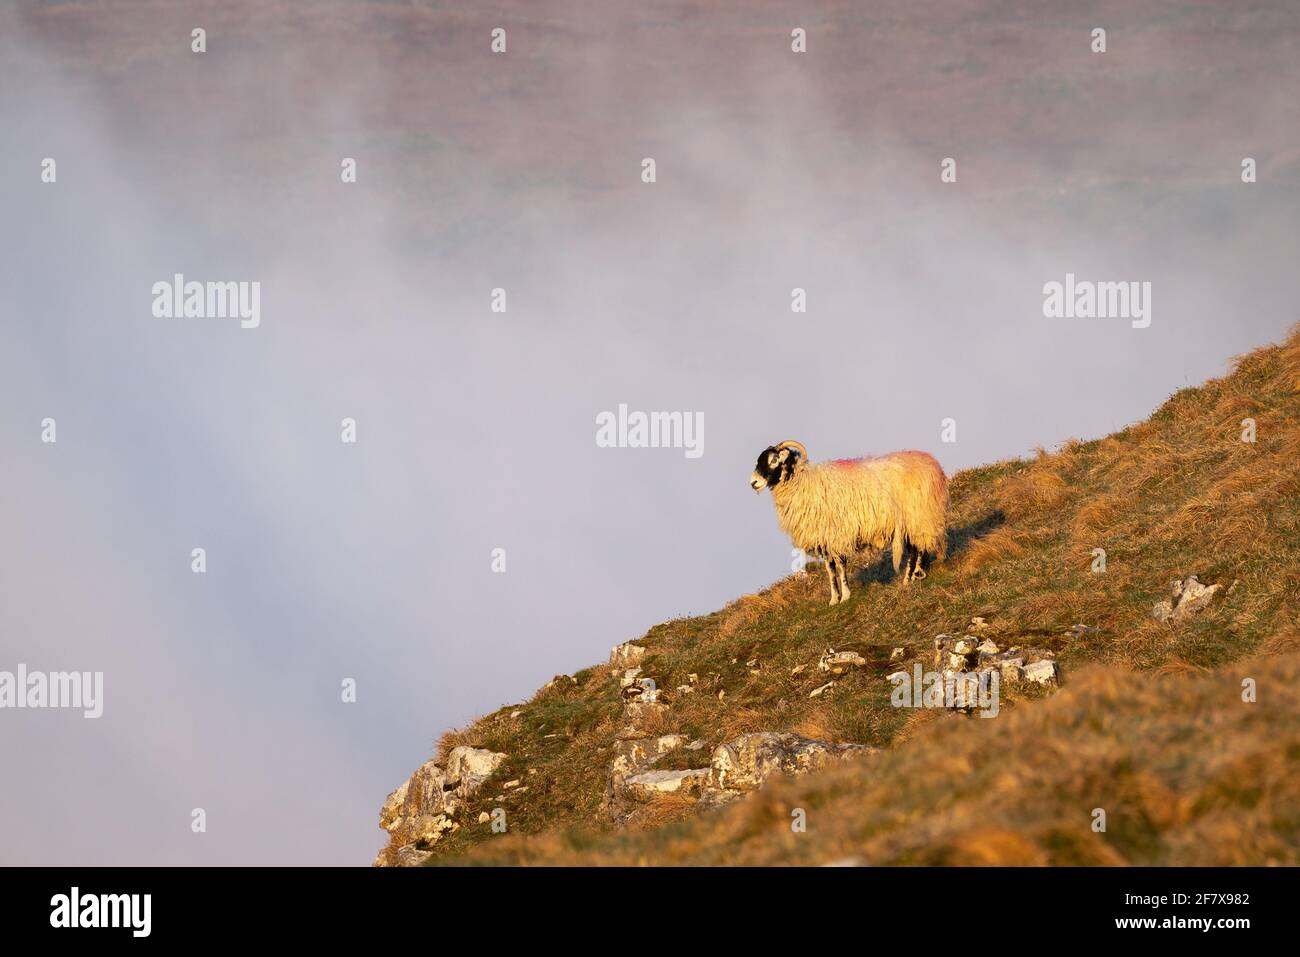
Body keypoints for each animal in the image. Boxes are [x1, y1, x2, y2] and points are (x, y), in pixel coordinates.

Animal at [754, 442, 946, 605]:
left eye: (774, 460)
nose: (753, 483)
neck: (804, 483)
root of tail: (931, 462)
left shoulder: (837, 535)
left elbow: (840, 567)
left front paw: (846, 595)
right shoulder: (825, 540)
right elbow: (830, 569)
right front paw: (834, 599)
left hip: (918, 517)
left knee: (916, 549)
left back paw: (909, 579)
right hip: (915, 521)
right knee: (917, 547)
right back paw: (915, 575)